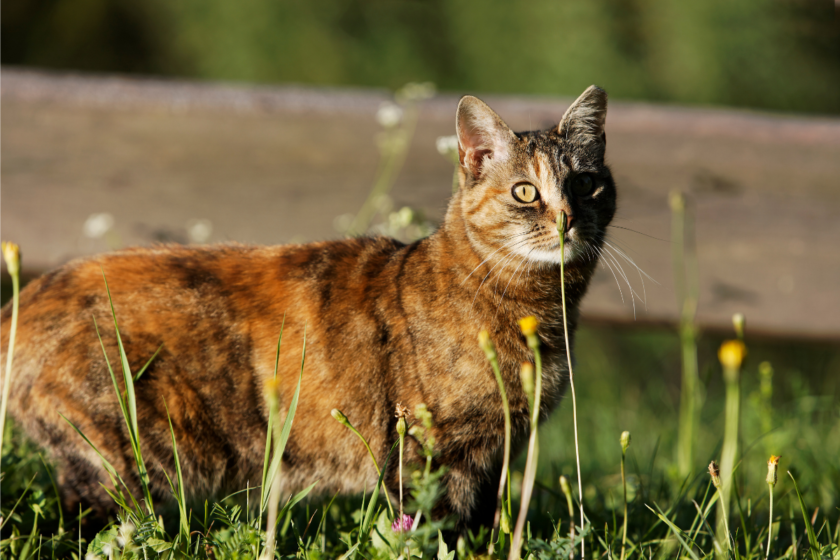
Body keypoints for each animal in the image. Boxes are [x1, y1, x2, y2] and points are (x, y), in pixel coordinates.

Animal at [0, 85, 616, 532]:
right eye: (525, 192)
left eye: (586, 183)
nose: (567, 216)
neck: (538, 312)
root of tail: (25, 299)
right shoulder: (430, 454)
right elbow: (435, 530)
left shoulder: (496, 457)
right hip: (127, 463)